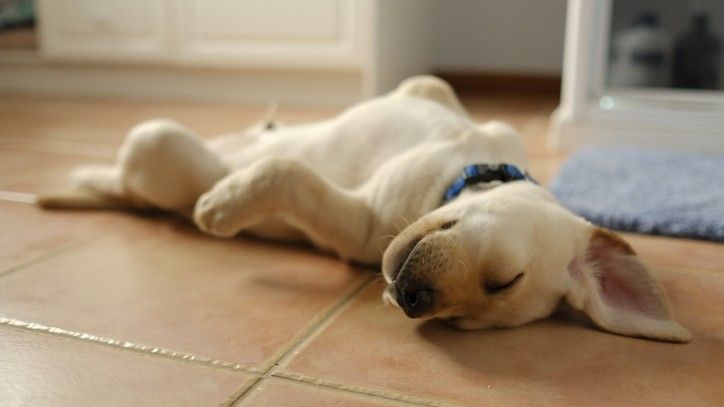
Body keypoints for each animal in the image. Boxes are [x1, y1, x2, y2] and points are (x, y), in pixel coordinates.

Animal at [38, 76, 692, 344]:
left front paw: (223, 205)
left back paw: (95, 182)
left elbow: (288, 174)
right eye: (508, 278)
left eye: (462, 323)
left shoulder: (358, 224)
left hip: (159, 145)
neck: (463, 171)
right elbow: (425, 84)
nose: (410, 301)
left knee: (133, 179)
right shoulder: (440, 104)